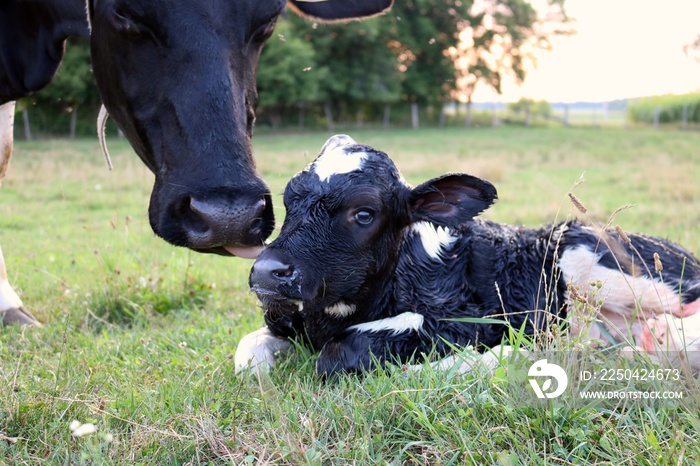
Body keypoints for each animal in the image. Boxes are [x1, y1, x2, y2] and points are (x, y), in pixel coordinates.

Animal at [234, 135, 700, 374]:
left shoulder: (465, 320)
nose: (267, 270)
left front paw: (487, 360)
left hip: (594, 259)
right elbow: (247, 354)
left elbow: (345, 352)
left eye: (363, 213)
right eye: (289, 199)